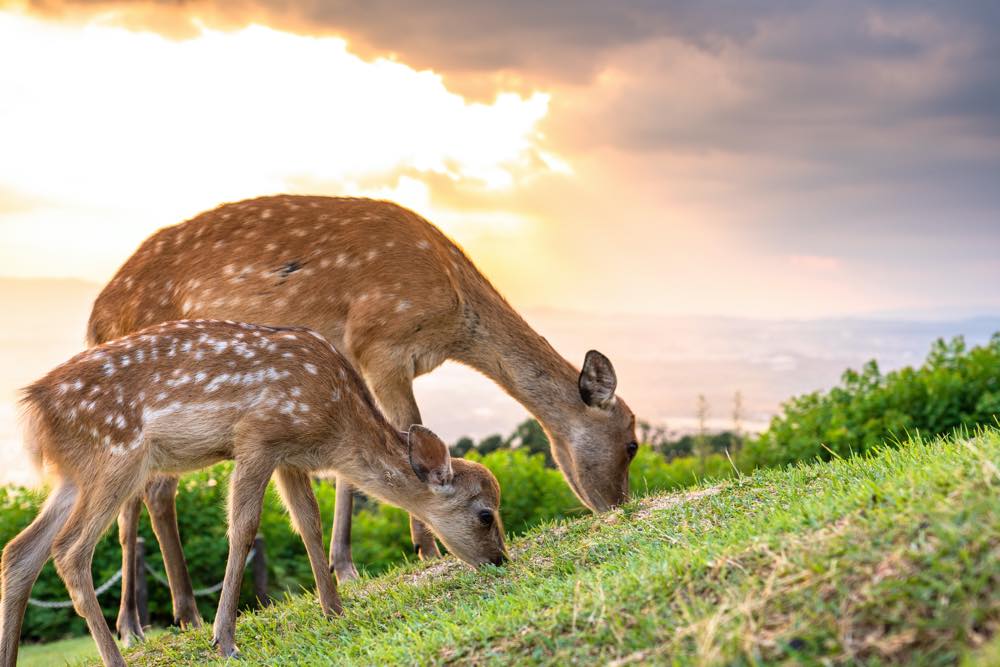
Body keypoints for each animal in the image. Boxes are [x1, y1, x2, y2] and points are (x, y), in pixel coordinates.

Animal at [1, 320, 508, 664]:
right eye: (485, 514)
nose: (502, 560)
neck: (335, 423)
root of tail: (33, 409)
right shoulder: (259, 436)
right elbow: (244, 528)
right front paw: (224, 639)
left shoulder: (289, 455)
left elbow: (308, 523)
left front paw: (334, 611)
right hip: (117, 457)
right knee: (69, 551)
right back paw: (117, 657)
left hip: (73, 477)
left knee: (20, 552)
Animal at [84, 196, 632, 644]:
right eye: (632, 443)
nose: (619, 505)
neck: (453, 311)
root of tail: (95, 318)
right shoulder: (380, 343)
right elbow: (409, 427)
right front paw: (424, 549)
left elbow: (348, 473)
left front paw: (344, 566)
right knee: (153, 491)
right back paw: (171, 618)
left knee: (137, 501)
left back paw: (145, 621)